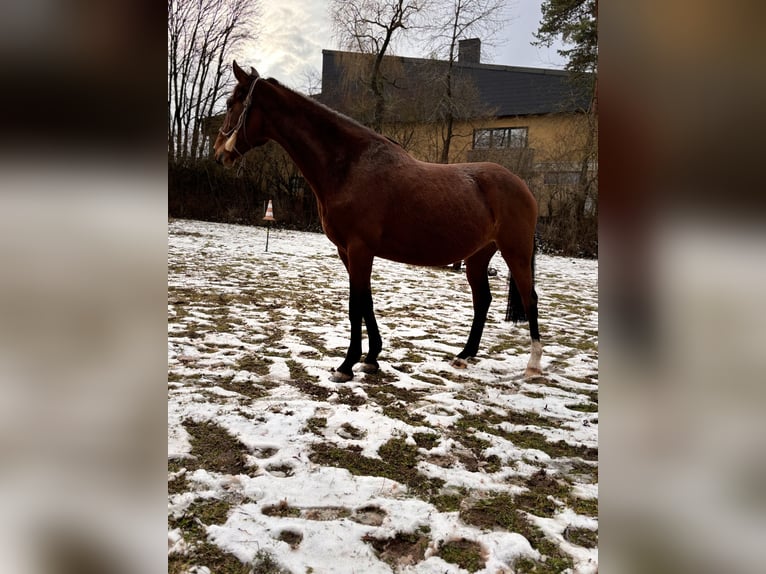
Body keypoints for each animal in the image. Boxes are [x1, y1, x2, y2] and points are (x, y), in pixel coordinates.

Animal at [213, 60, 544, 382]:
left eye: (231, 104)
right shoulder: (347, 252)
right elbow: (366, 303)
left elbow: (355, 306)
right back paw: (464, 355)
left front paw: (347, 365)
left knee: (530, 298)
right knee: (483, 300)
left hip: (515, 251)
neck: (350, 166)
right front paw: (371, 359)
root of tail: (523, 186)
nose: (218, 154)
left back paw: (533, 366)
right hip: (478, 256)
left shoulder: (359, 249)